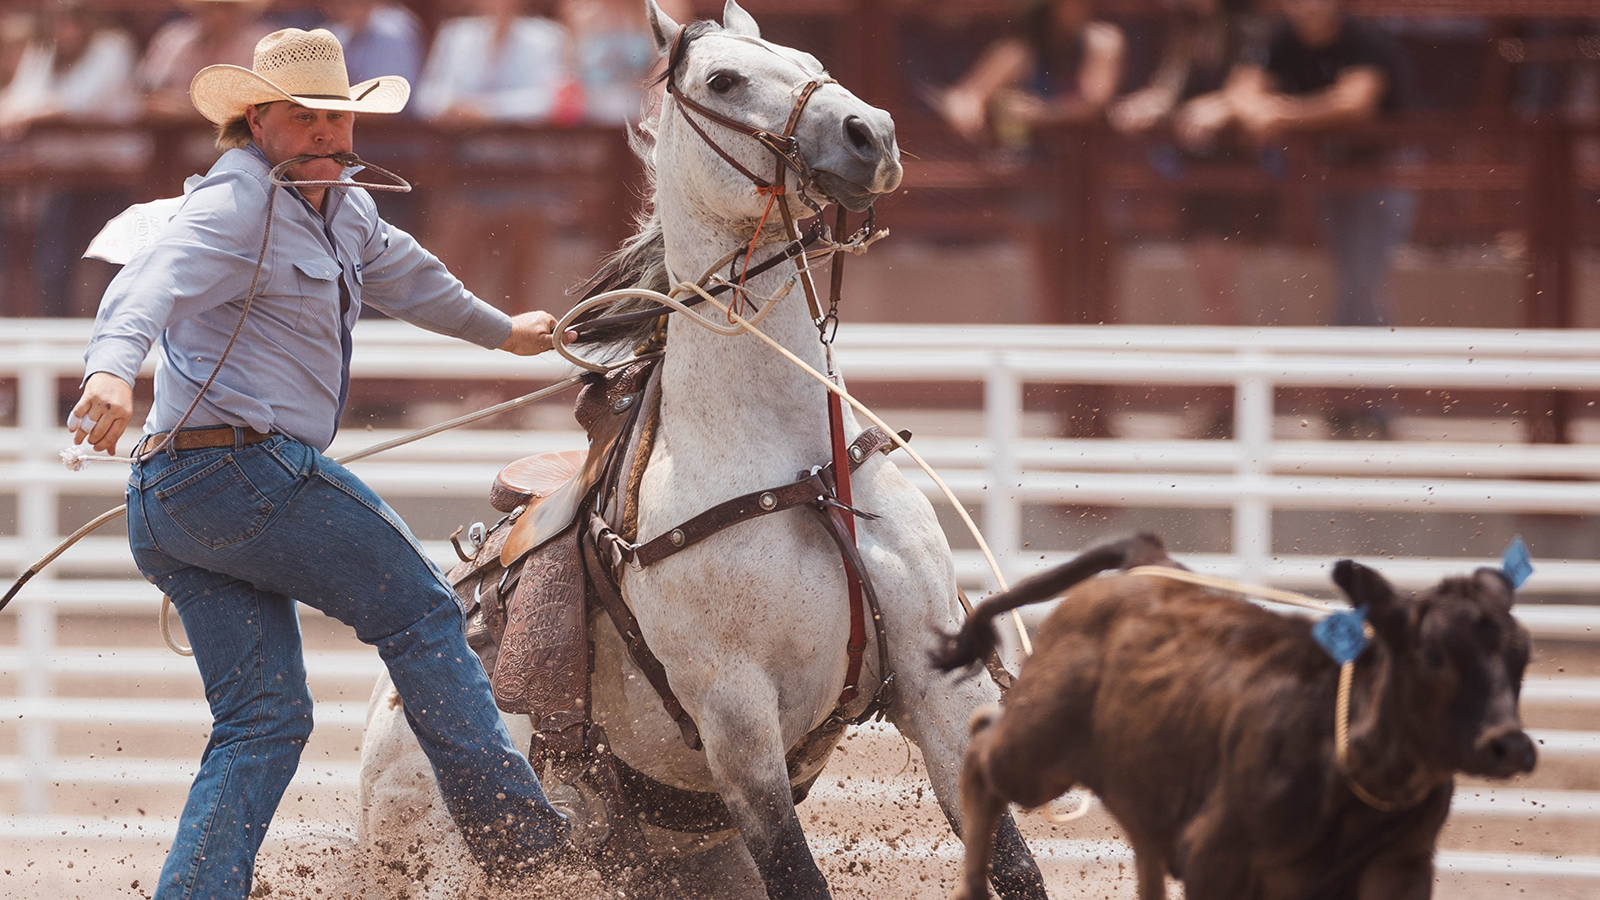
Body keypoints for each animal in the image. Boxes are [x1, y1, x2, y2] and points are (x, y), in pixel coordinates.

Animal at [356, 3, 1043, 890]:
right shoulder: (737, 721)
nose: (872, 134)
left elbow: (1014, 867)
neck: (796, 463)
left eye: (809, 57)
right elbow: (798, 873)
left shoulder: (939, 689)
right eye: (723, 79)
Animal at [934, 531, 1529, 896]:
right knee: (981, 750)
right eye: (1434, 655)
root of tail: (1147, 563)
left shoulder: (1401, 868)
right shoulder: (1216, 858)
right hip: (1039, 752)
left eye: (1521, 655)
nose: (1510, 745)